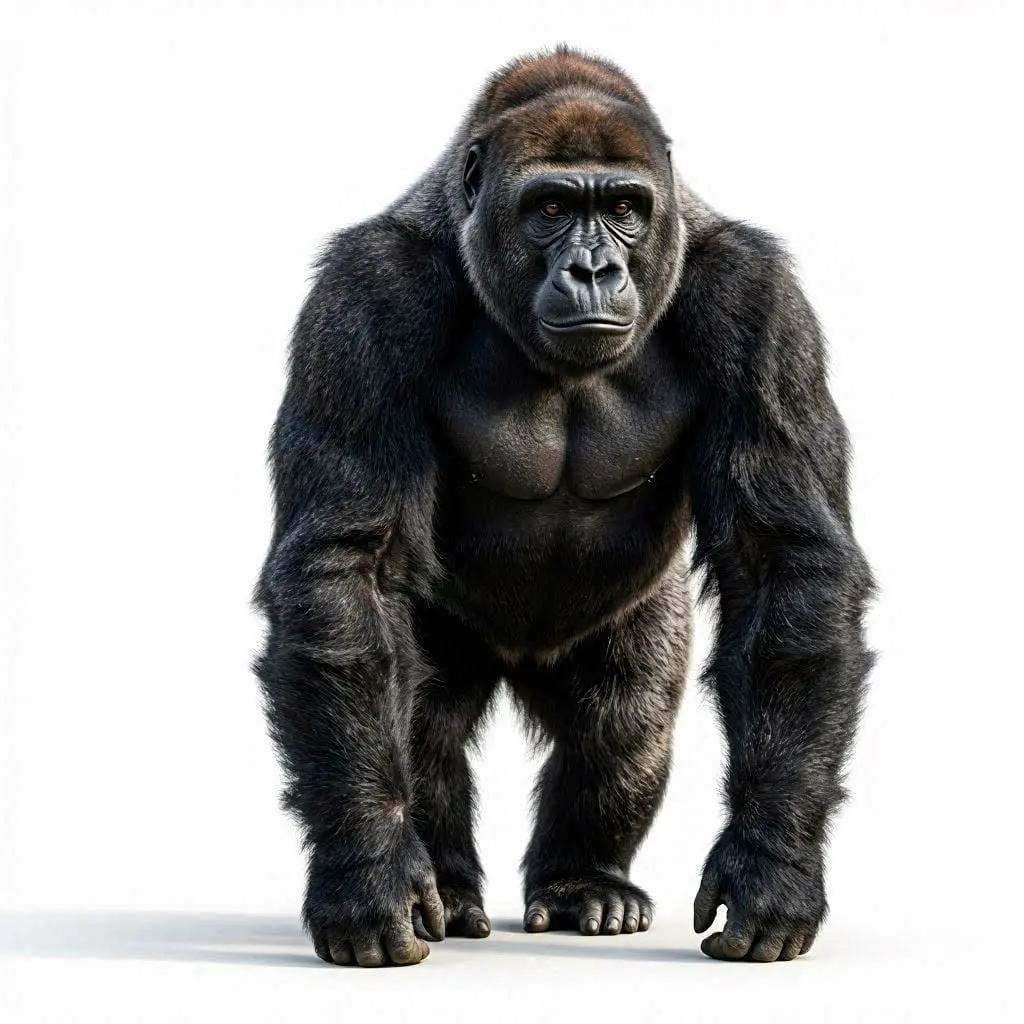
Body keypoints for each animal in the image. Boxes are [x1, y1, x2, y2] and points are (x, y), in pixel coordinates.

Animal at [254, 46, 874, 967]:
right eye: (549, 208)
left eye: (622, 209)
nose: (591, 269)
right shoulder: (364, 301)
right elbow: (347, 567)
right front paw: (368, 871)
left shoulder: (759, 306)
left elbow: (782, 566)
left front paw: (773, 863)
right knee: (423, 710)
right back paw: (451, 884)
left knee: (627, 718)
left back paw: (584, 879)